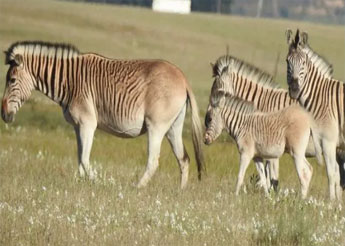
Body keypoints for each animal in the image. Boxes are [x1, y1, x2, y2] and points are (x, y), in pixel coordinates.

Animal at [0, 41, 203, 188]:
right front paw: (80, 185)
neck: (69, 82)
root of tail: (183, 78)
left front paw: (98, 182)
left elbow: (84, 159)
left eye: (12, 80)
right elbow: (80, 158)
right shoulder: (77, 126)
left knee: (153, 162)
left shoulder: (88, 123)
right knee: (184, 159)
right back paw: (180, 193)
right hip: (173, 127)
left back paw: (135, 188)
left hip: (156, 126)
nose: (3, 114)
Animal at [284, 29, 342, 201]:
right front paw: (337, 202)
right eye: (287, 61)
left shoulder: (328, 140)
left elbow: (331, 173)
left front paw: (331, 202)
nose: (294, 89)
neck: (320, 97)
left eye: (304, 63)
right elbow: (335, 174)